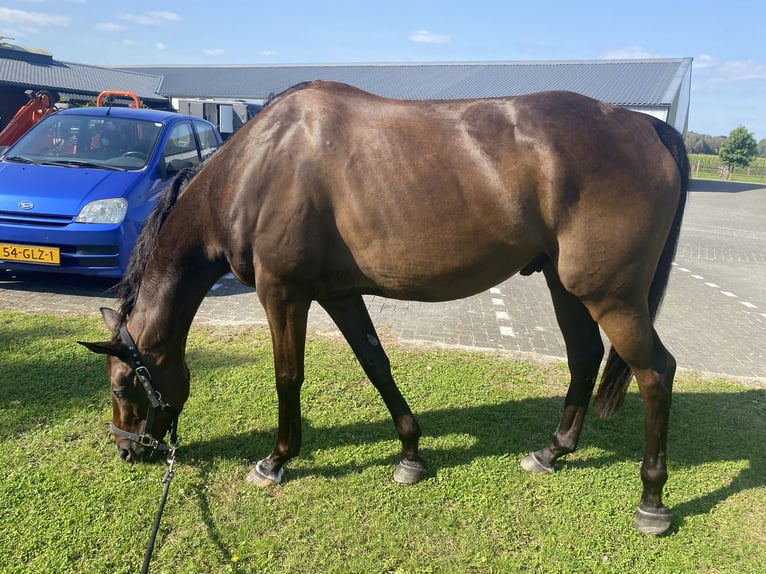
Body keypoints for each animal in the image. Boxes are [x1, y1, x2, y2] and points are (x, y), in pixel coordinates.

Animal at [81, 80, 692, 536]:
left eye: (121, 385)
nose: (126, 451)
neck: (256, 167)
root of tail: (647, 126)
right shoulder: (339, 293)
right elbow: (377, 365)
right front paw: (410, 453)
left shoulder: (283, 293)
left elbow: (287, 376)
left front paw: (275, 460)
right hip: (566, 285)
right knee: (585, 357)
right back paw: (551, 452)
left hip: (611, 295)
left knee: (656, 373)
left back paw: (652, 501)